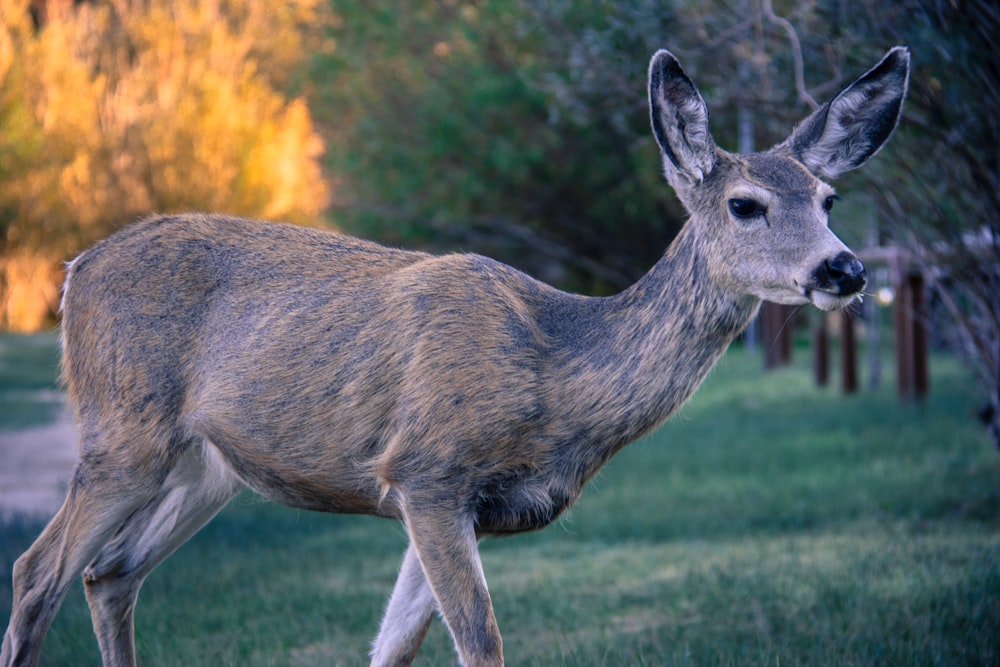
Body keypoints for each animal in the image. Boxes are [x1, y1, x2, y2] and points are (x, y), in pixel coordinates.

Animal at [0, 44, 908, 664]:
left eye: (829, 198)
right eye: (746, 204)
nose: (845, 268)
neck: (554, 367)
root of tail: (75, 272)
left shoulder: (450, 502)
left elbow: (392, 647)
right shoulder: (428, 468)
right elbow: (482, 642)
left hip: (206, 464)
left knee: (110, 574)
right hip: (123, 428)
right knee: (37, 572)